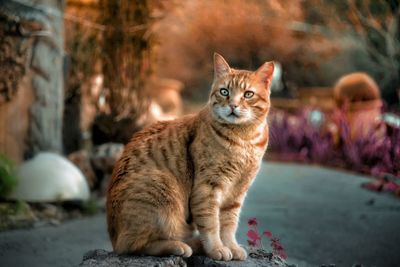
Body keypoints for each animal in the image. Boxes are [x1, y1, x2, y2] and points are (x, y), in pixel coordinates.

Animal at [107, 54, 276, 262]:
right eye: (224, 91)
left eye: (248, 94)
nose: (233, 105)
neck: (244, 139)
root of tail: (113, 238)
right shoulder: (207, 188)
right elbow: (211, 224)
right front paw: (217, 248)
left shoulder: (237, 192)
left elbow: (229, 224)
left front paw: (231, 246)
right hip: (161, 187)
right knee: (135, 245)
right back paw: (185, 246)